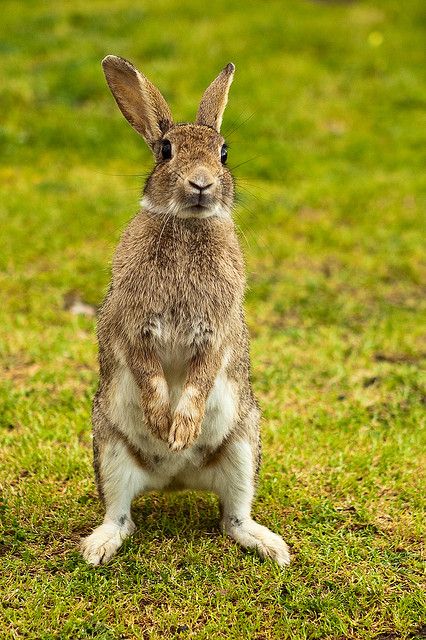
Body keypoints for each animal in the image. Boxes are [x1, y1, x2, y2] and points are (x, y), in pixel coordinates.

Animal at [80, 55, 290, 564]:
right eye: (165, 151)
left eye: (224, 153)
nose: (201, 184)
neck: (188, 224)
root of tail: (173, 480)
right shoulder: (133, 325)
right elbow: (150, 373)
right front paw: (163, 424)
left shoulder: (217, 329)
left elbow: (199, 378)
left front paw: (179, 431)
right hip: (109, 447)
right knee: (121, 516)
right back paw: (97, 548)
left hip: (242, 444)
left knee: (233, 517)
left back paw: (271, 547)